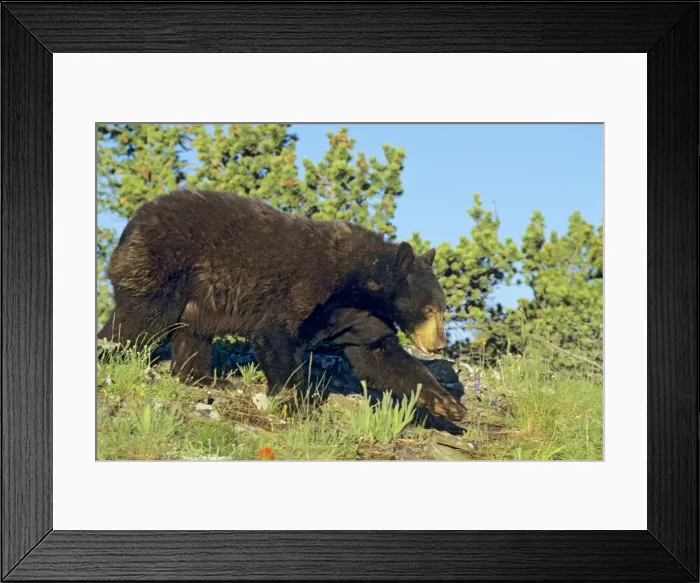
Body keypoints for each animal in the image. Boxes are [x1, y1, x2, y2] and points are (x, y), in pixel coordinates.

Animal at [98, 189, 467, 423]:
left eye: (443, 307)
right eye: (429, 309)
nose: (440, 343)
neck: (358, 283)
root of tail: (133, 220)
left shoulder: (360, 318)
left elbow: (381, 357)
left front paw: (448, 405)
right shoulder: (307, 285)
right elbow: (276, 334)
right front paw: (295, 399)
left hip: (197, 298)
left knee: (192, 332)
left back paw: (204, 378)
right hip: (162, 266)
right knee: (141, 319)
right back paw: (110, 352)